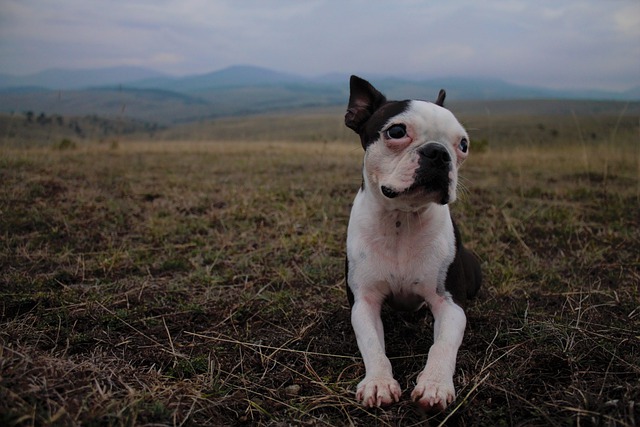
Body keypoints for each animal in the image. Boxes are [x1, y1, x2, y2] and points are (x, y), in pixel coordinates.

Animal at [344, 76, 480, 412]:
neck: (400, 220)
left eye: (463, 145)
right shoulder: (364, 301)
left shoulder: (449, 304)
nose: (439, 153)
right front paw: (378, 382)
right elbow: (372, 344)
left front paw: (434, 385)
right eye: (396, 131)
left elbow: (443, 346)